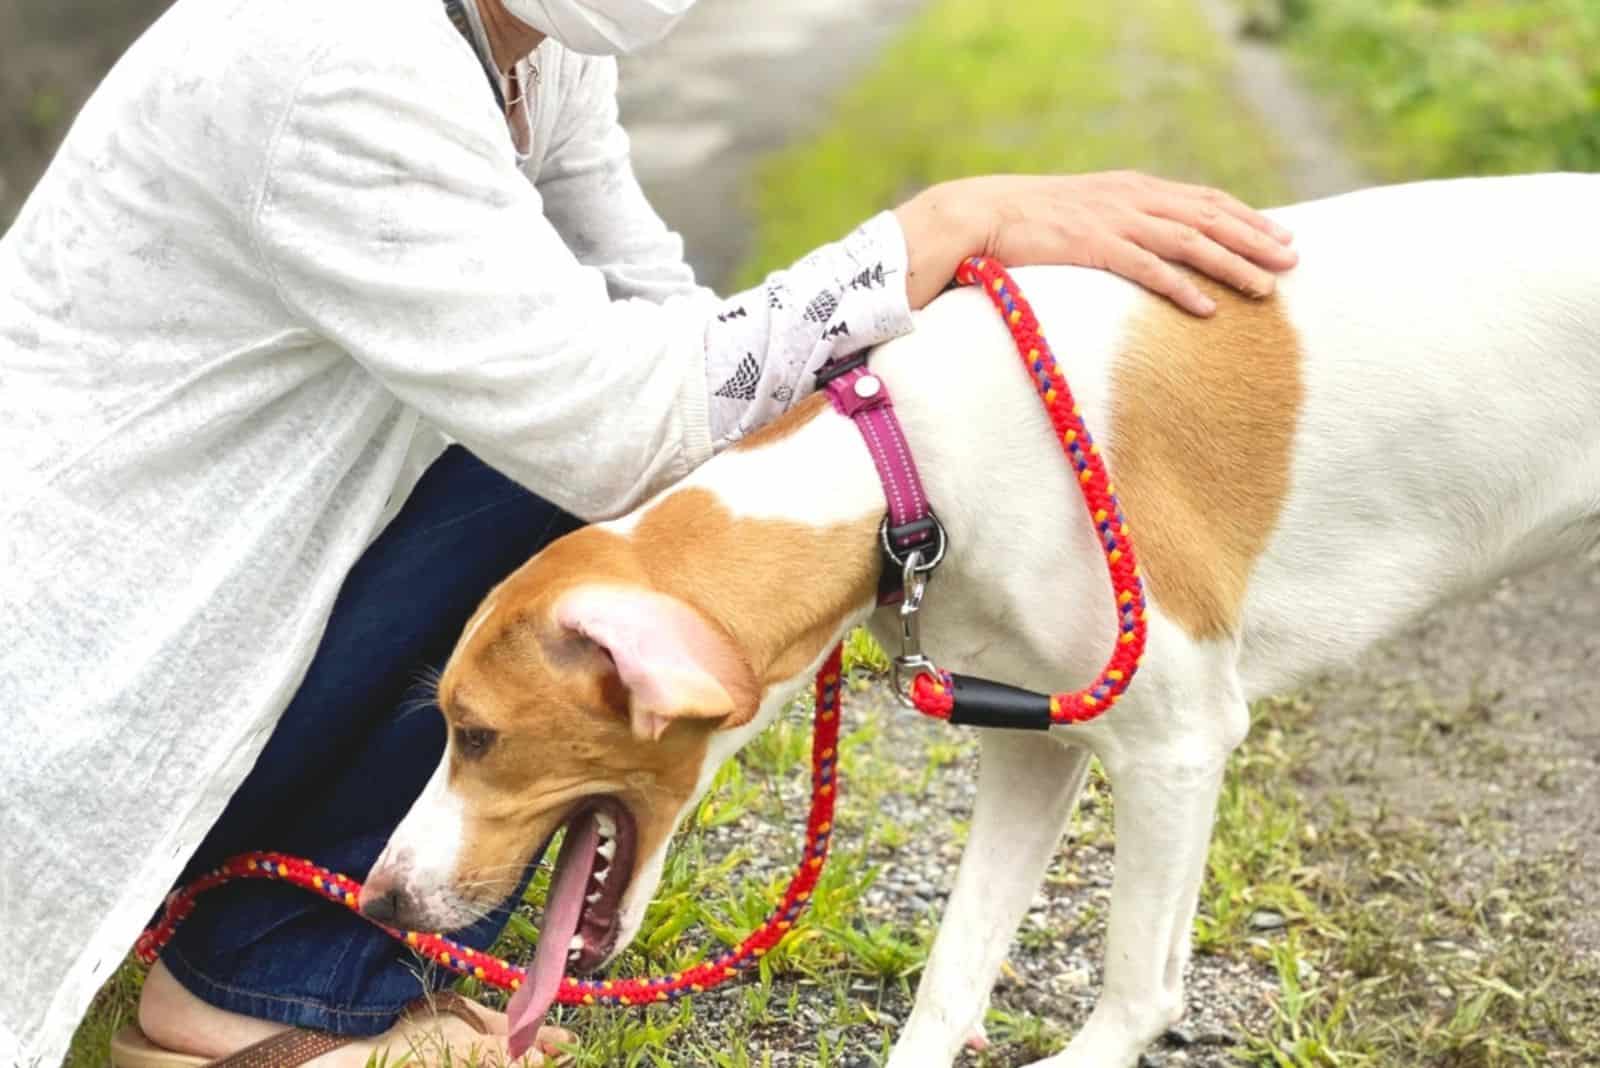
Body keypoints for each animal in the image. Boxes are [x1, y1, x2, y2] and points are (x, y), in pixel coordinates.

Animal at [356, 171, 1600, 1061]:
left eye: (478, 736)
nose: (381, 898)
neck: (902, 458)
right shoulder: (1037, 743)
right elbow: (953, 974)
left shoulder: (1176, 748)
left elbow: (1136, 992)